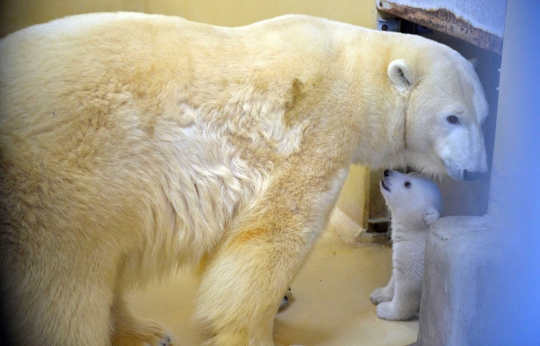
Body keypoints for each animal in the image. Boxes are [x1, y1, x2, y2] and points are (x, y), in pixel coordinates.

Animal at [0, 12, 488, 344]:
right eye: (452, 117)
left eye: (483, 116)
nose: (479, 170)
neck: (359, 78)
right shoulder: (317, 130)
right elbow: (272, 235)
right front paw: (257, 330)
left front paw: (283, 299)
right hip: (62, 182)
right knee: (65, 281)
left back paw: (145, 332)